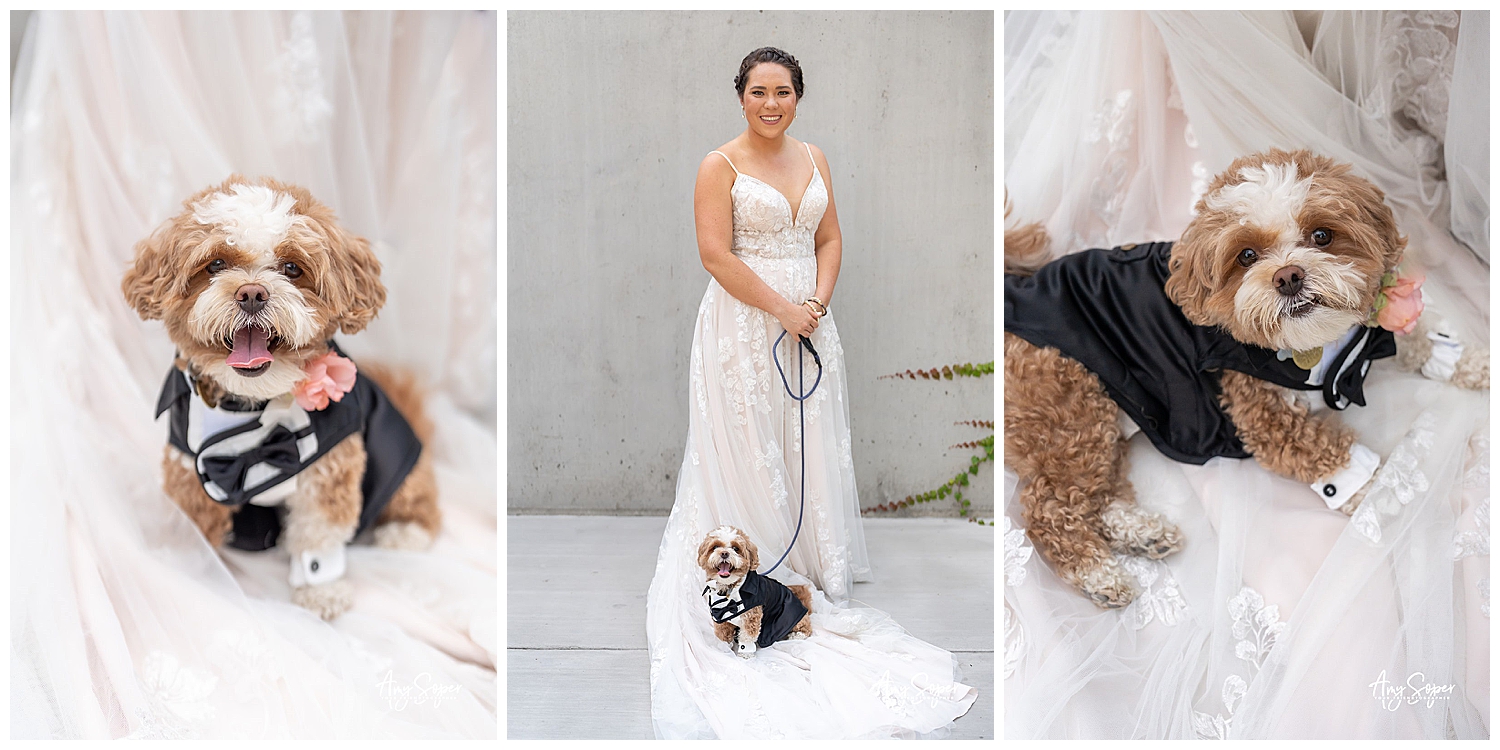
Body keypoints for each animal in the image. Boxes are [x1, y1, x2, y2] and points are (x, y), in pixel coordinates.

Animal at [699, 528, 816, 657]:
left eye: (735, 548)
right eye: (715, 547)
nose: (724, 553)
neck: (730, 589)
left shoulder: (751, 617)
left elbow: (747, 637)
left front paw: (745, 655)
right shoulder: (720, 617)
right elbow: (723, 634)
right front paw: (723, 648)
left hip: (792, 617)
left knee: (806, 627)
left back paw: (797, 635)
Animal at [1002, 240, 1398, 462]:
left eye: (1321, 236)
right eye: (1247, 255)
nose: (1288, 276)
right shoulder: (1262, 415)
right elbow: (1321, 451)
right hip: (1070, 408)